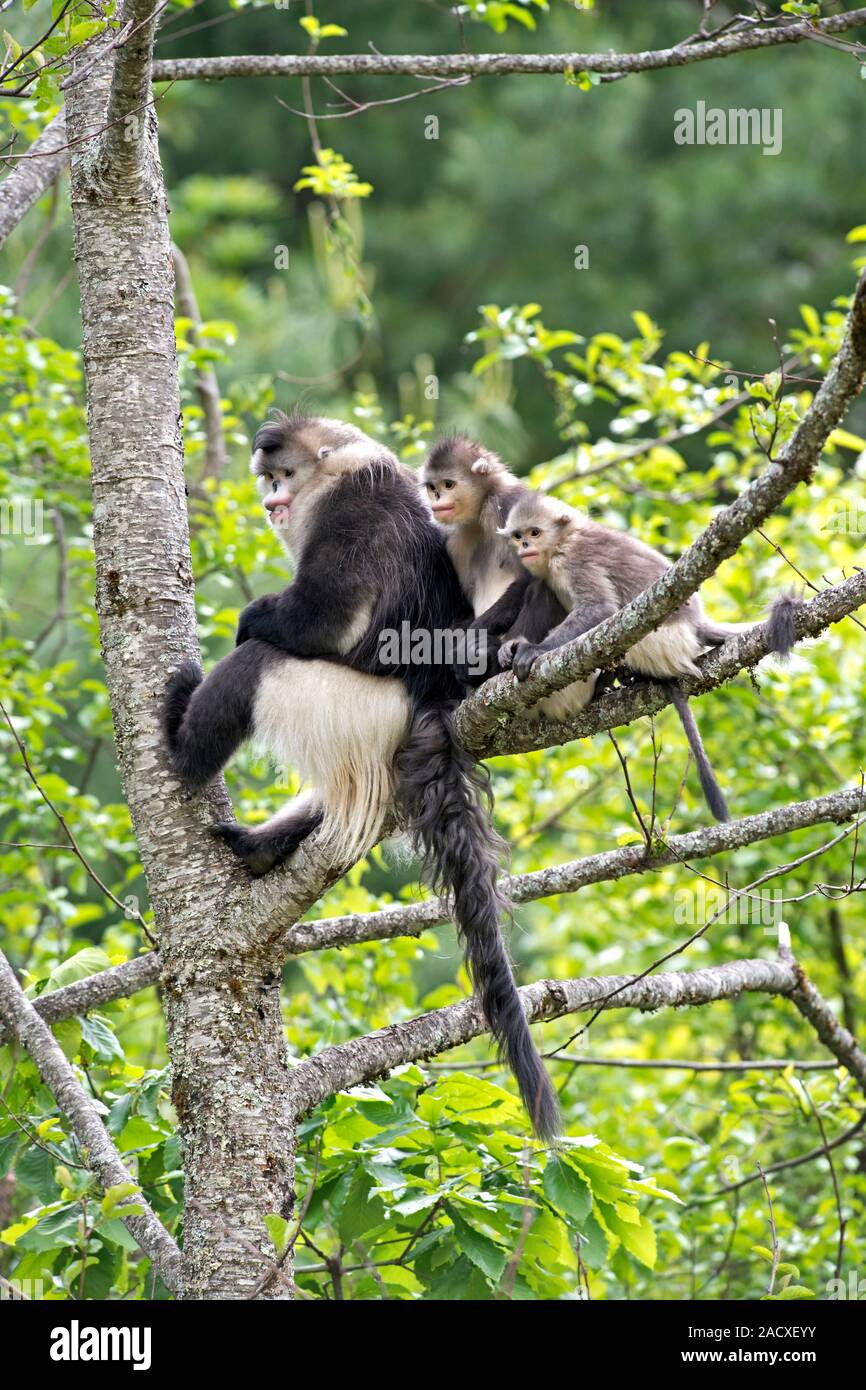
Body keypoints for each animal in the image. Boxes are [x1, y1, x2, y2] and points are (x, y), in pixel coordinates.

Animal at [162, 412, 559, 1139]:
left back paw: (183, 747)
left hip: (346, 703)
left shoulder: (350, 511)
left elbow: (327, 613)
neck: (336, 469)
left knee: (259, 663)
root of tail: (431, 694)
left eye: (284, 476)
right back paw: (267, 845)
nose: (272, 501)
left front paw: (251, 618)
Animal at [418, 435, 598, 720]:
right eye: (432, 487)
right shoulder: (453, 542)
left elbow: (528, 577)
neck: (481, 512)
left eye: (448, 484)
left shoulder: (508, 504)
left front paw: (471, 646)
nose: (437, 500)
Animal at [496, 492, 763, 823]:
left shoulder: (574, 559)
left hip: (656, 641)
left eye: (534, 533)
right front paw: (513, 644)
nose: (524, 546)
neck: (563, 541)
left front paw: (533, 650)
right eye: (518, 535)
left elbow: (600, 608)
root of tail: (695, 626)